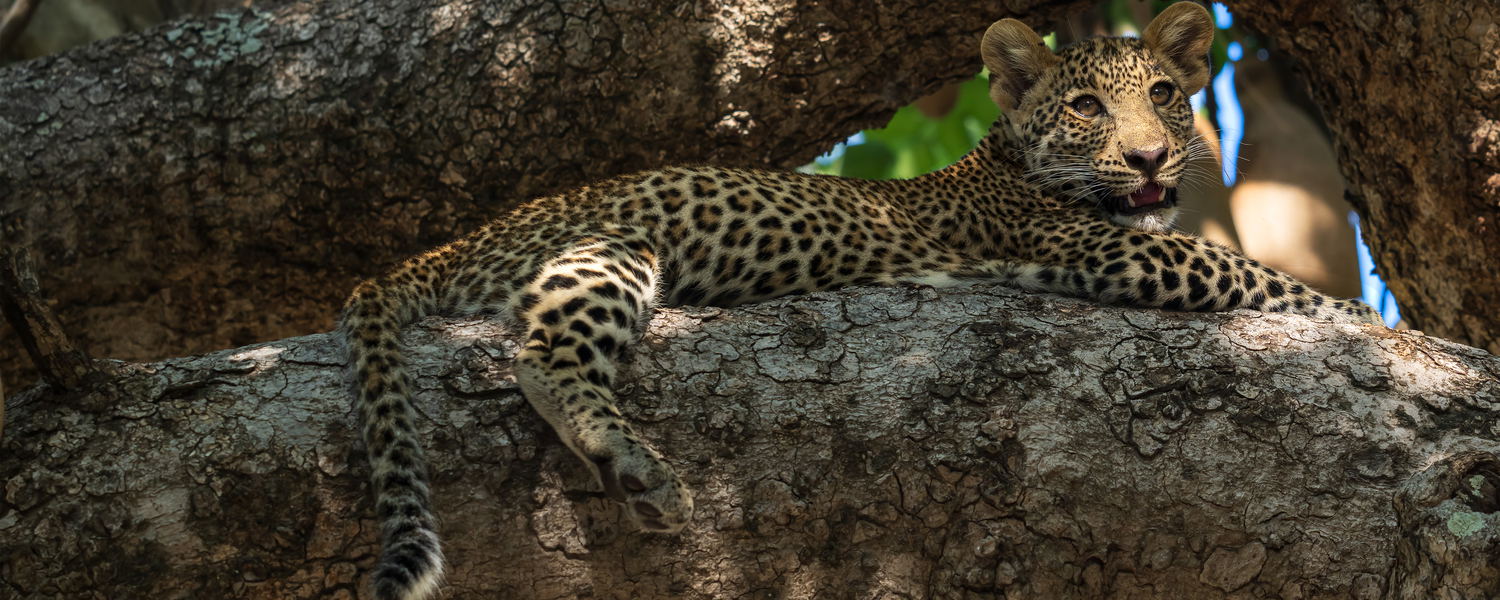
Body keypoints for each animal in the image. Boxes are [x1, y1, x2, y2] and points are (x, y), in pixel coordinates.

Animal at [337, 3, 1383, 599]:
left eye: (1166, 93)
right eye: (1089, 109)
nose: (1151, 156)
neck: (1012, 160)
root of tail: (456, 242)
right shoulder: (1101, 250)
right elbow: (1260, 279)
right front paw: (1388, 332)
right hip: (613, 245)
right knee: (538, 353)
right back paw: (633, 461)